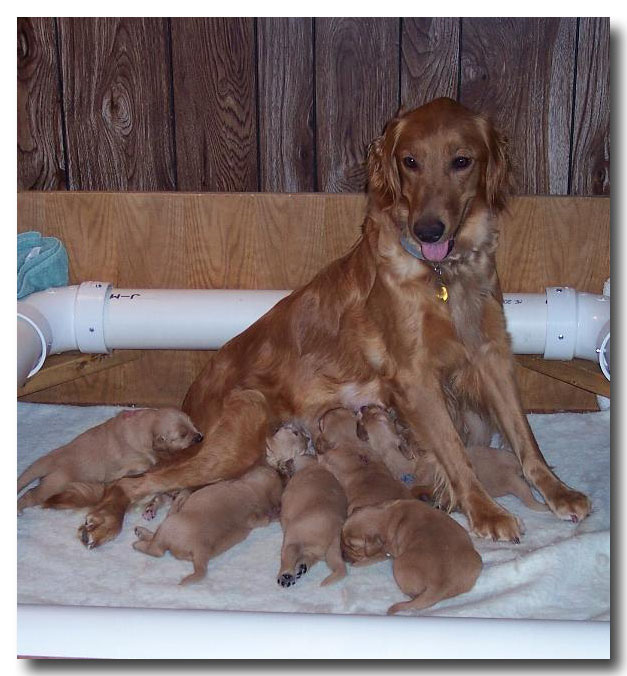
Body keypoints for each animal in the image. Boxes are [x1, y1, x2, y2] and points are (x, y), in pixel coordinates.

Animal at [17, 408, 202, 513]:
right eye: (182, 435)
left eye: (193, 424)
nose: (200, 437)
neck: (144, 426)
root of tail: (50, 459)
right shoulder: (131, 460)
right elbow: (145, 462)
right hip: (54, 484)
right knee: (30, 494)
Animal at [77, 97, 589, 549]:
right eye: (410, 162)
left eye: (461, 161)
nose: (427, 229)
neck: (443, 275)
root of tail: (191, 399)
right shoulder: (415, 378)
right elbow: (456, 451)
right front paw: (485, 511)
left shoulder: (490, 354)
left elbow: (526, 438)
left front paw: (559, 491)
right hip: (238, 434)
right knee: (135, 480)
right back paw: (104, 519)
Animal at [132, 464, 282, 583]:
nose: (278, 469)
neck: (256, 493)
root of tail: (200, 550)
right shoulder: (258, 518)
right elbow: (263, 520)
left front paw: (181, 495)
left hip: (169, 525)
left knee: (157, 548)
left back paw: (140, 539)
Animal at [266, 424, 348, 588]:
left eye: (294, 432)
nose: (277, 427)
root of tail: (336, 535)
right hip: (316, 550)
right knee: (308, 557)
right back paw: (301, 568)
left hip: (293, 533)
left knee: (289, 555)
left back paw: (286, 574)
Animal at [342, 499, 482, 615]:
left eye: (352, 546)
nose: (342, 555)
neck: (387, 516)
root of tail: (440, 585)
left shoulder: (389, 551)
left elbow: (375, 556)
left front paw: (358, 563)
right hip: (477, 563)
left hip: (399, 564)